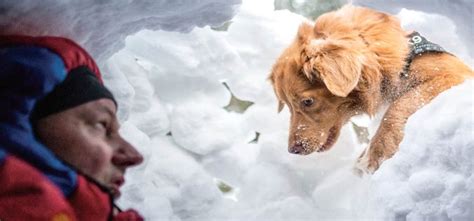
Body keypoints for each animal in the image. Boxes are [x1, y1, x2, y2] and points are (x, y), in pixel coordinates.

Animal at [268, 4, 472, 173]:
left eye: (307, 102)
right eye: (287, 106)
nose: (292, 150)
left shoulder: (454, 74)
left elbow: (399, 105)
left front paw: (376, 152)